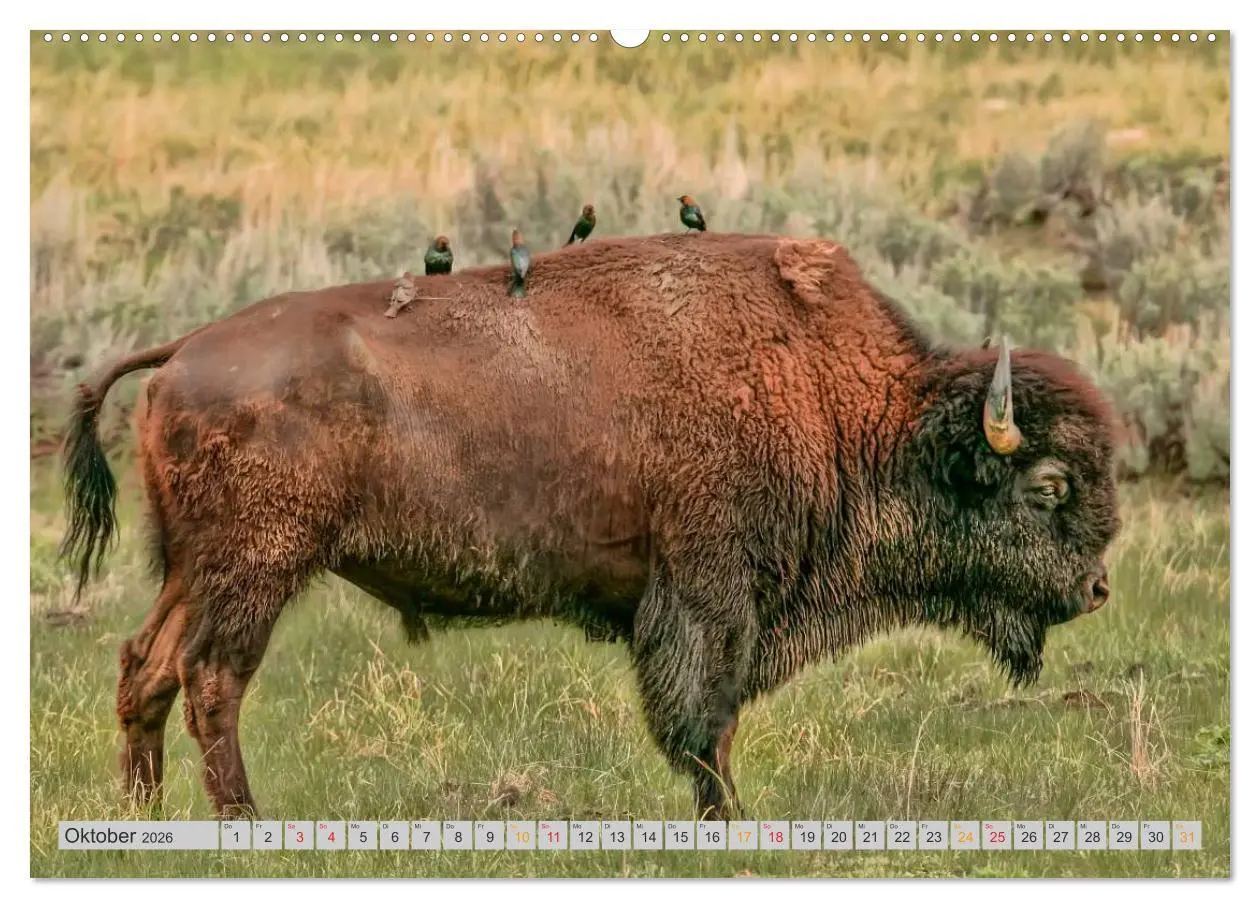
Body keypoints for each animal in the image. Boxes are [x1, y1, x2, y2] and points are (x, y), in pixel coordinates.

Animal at [60, 232, 1120, 820]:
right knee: (211, 679)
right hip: (256, 568)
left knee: (145, 666)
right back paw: (245, 822)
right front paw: (728, 820)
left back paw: (146, 818)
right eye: (1050, 487)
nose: (1099, 589)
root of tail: (183, 348)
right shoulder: (708, 595)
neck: (837, 401)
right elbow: (705, 720)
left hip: (193, 568)